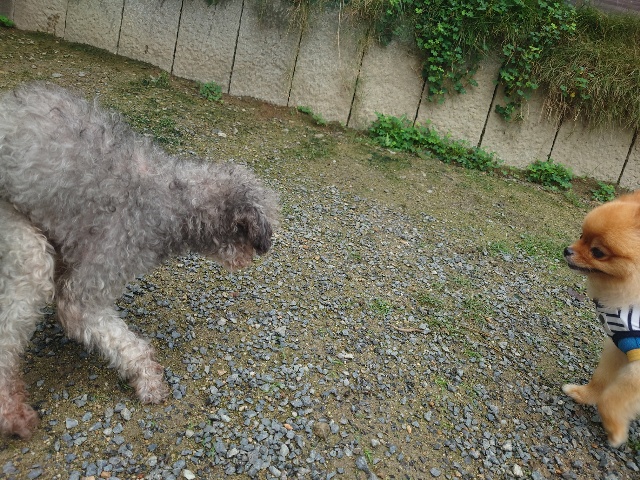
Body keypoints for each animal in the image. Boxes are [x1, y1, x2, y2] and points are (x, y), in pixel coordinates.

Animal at [0, 82, 279, 439]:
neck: (173, 203)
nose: (262, 252)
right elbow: (106, 330)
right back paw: (11, 411)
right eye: (256, 238)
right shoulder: (94, 278)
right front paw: (148, 379)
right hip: (21, 243)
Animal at [563, 190, 640, 447]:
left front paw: (616, 432)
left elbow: (611, 399)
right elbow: (601, 379)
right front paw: (584, 395)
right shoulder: (620, 344)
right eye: (581, 236)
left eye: (597, 252)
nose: (567, 250)